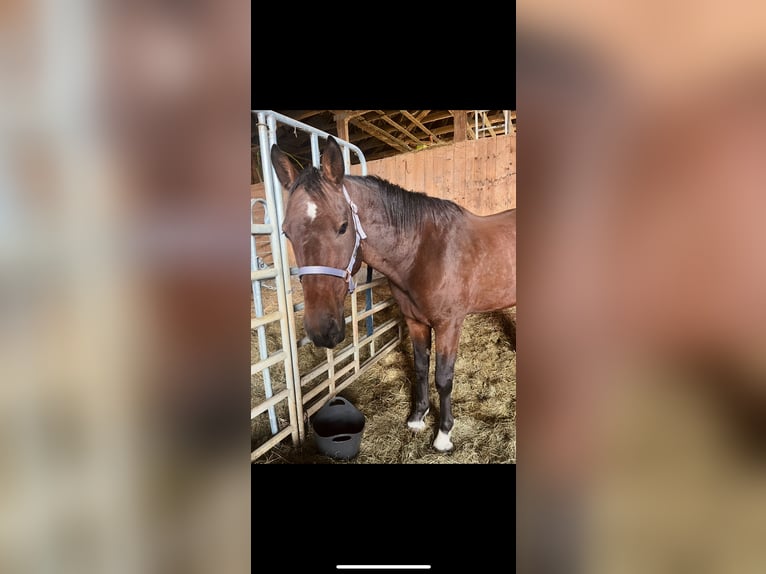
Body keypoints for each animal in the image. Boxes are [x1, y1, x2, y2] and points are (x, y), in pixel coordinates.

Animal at [270, 136, 516, 452]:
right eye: (286, 232)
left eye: (343, 226)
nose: (322, 330)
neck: (423, 250)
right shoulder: (415, 321)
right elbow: (421, 368)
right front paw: (417, 418)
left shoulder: (449, 325)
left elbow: (443, 378)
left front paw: (443, 435)